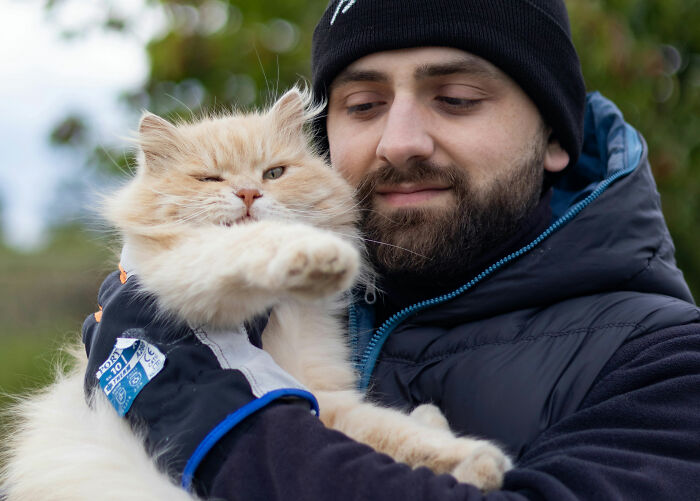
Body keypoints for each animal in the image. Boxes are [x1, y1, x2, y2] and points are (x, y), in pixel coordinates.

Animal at [2, 88, 512, 498]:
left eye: (274, 174)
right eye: (209, 179)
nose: (248, 194)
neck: (277, 311)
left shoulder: (325, 395)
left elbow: (396, 432)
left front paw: (473, 457)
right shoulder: (178, 278)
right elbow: (246, 248)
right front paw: (318, 257)